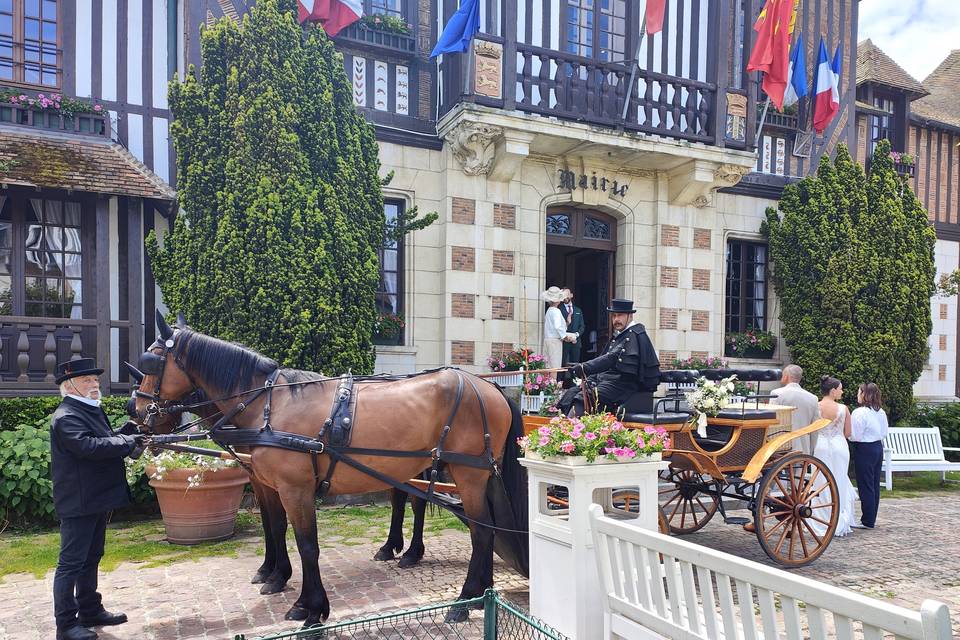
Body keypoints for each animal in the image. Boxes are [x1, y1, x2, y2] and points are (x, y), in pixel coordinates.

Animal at [133, 316, 524, 624]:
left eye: (151, 363)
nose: (135, 412)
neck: (268, 405)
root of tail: (489, 386)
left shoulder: (295, 488)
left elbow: (307, 545)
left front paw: (310, 606)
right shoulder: (266, 482)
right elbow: (275, 528)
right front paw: (276, 577)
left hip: (467, 474)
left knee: (479, 531)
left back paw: (463, 600)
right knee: (469, 523)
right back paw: (479, 592)